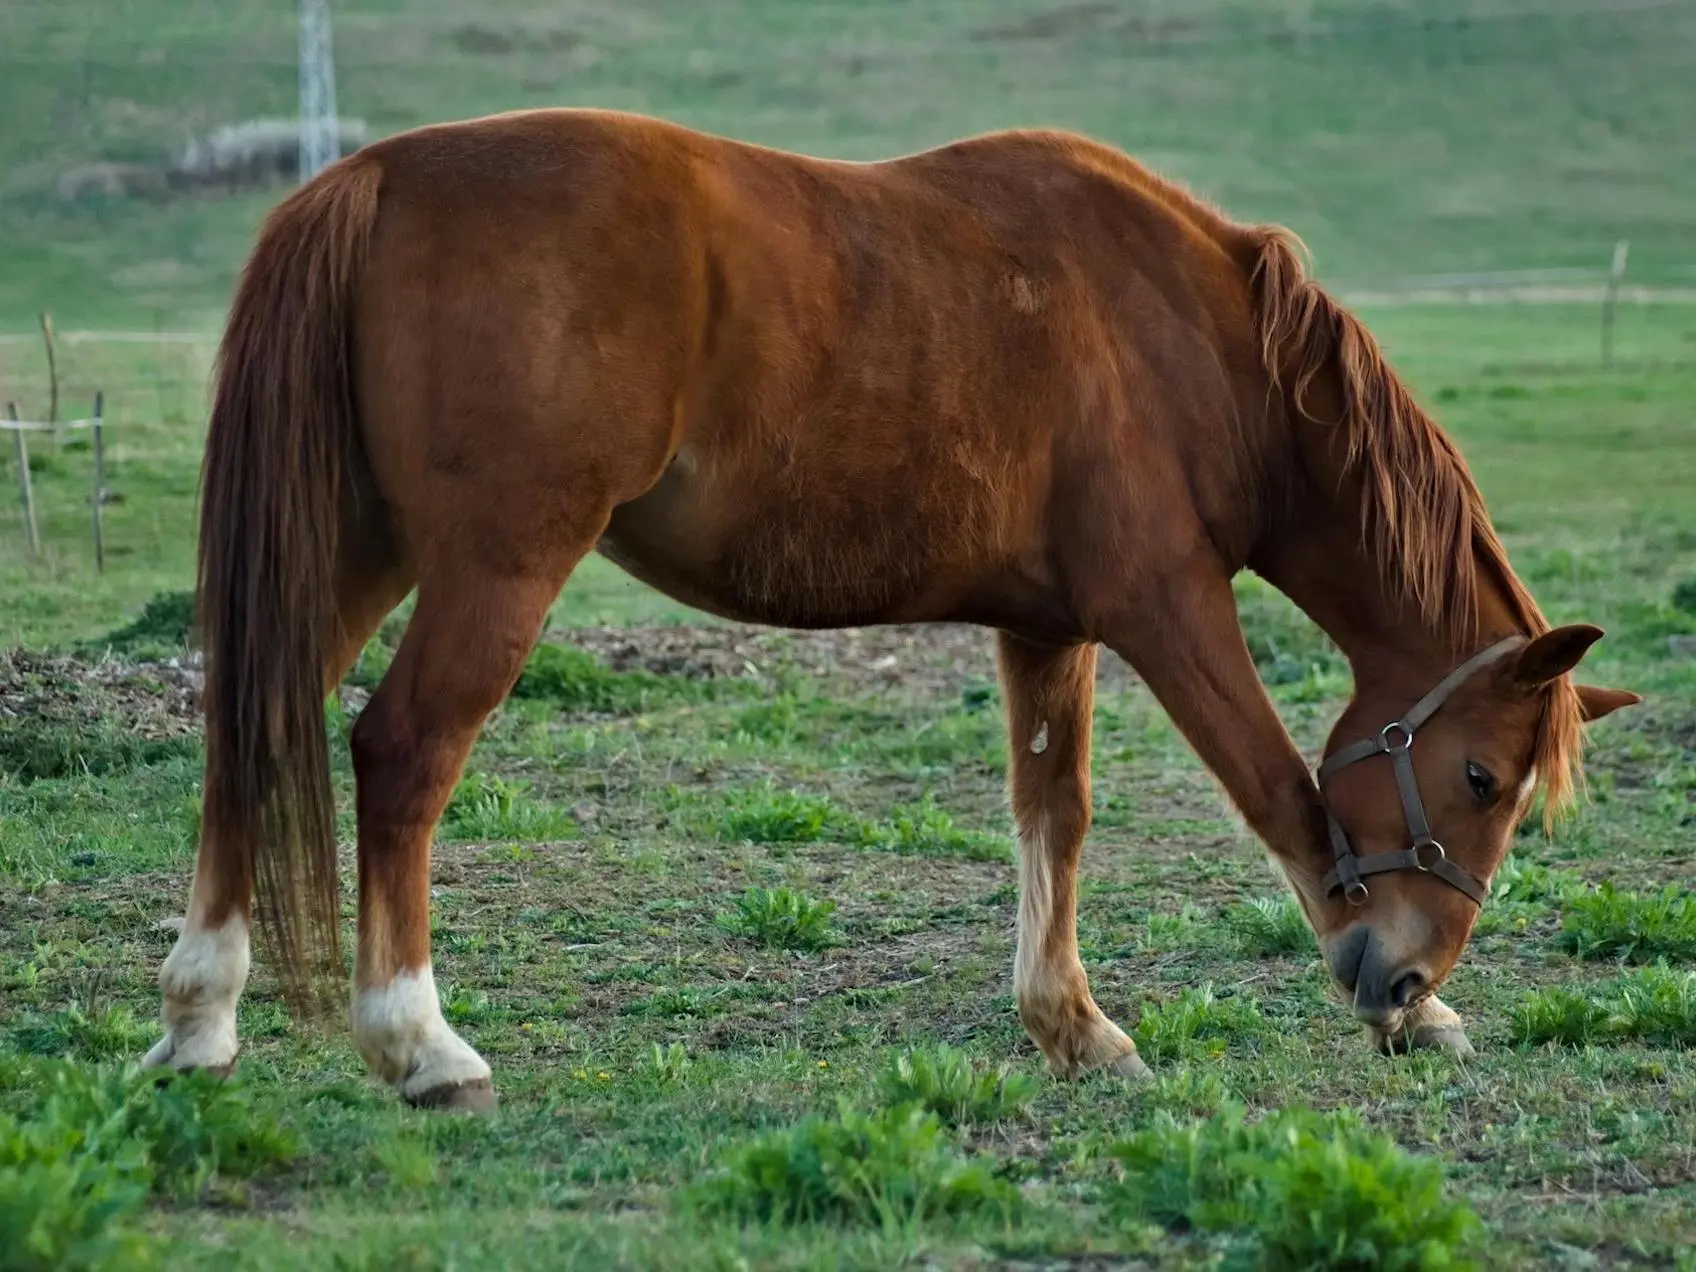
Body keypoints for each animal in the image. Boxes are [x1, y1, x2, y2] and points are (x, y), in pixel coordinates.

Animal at [145, 104, 1641, 1112]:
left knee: (249, 727)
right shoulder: (1165, 607)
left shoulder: (1048, 626)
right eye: (1480, 777)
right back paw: (419, 1044)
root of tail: (371, 176)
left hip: (360, 551)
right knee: (401, 756)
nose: (1405, 973)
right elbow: (1278, 789)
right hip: (492, 565)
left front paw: (1069, 1024)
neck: (1195, 337)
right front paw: (1391, 1008)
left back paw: (197, 1017)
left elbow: (1054, 818)